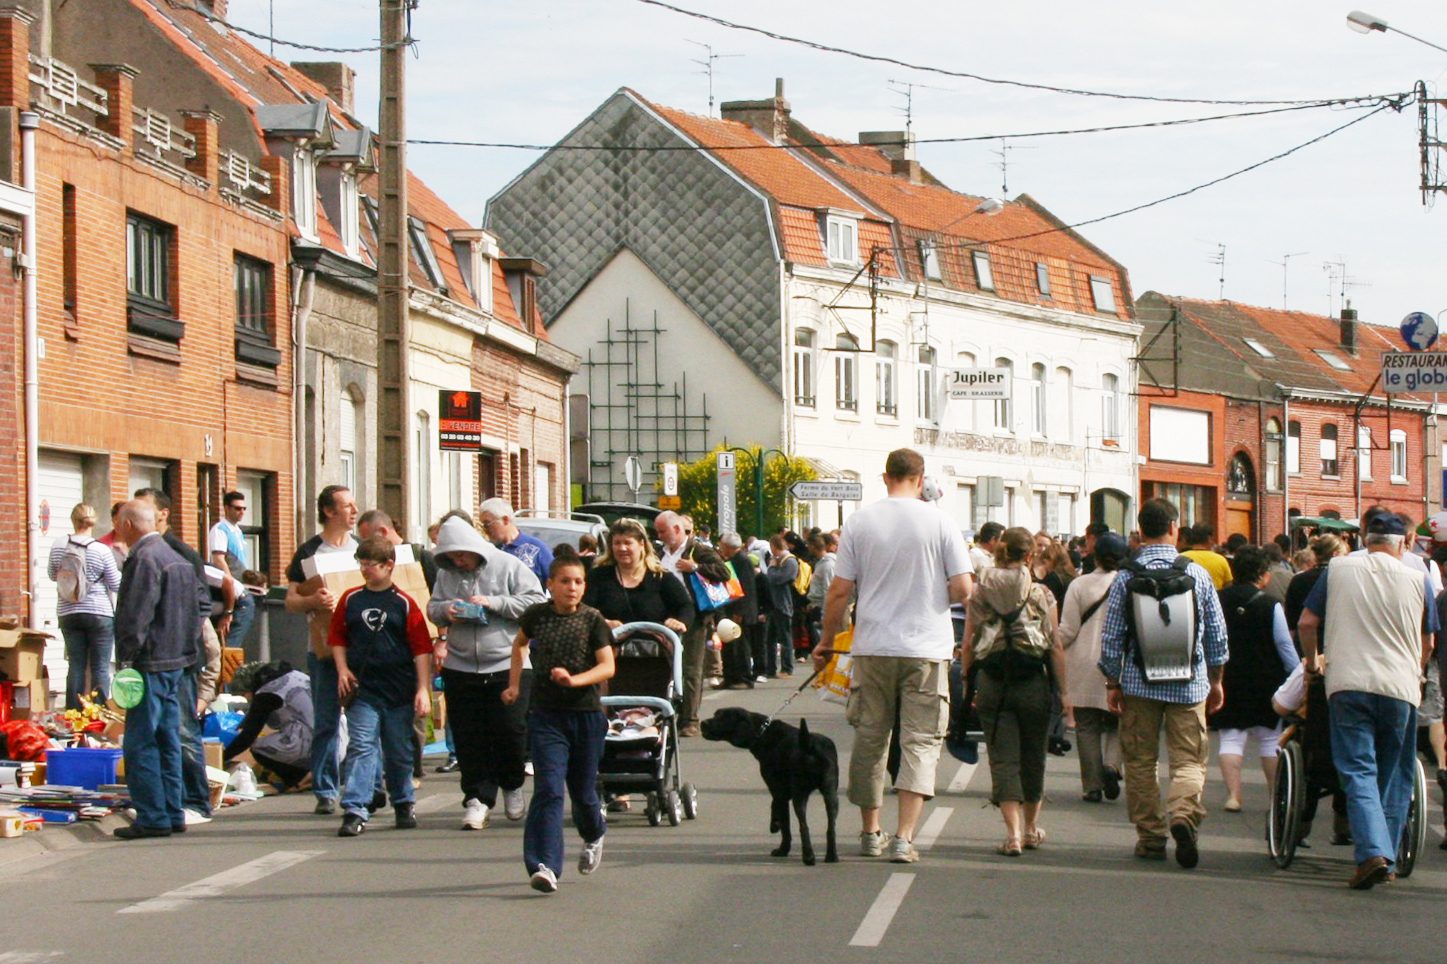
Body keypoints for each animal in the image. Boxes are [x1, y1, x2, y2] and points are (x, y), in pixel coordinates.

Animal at [697, 706, 839, 862]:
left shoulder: (778, 791)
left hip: (800, 794)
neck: (763, 733)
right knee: (831, 827)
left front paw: (782, 847)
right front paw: (775, 824)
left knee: (804, 826)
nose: (702, 723)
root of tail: (810, 745)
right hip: (831, 794)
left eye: (722, 717)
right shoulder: (782, 793)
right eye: (715, 714)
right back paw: (831, 856)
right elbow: (775, 808)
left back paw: (808, 857)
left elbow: (785, 824)